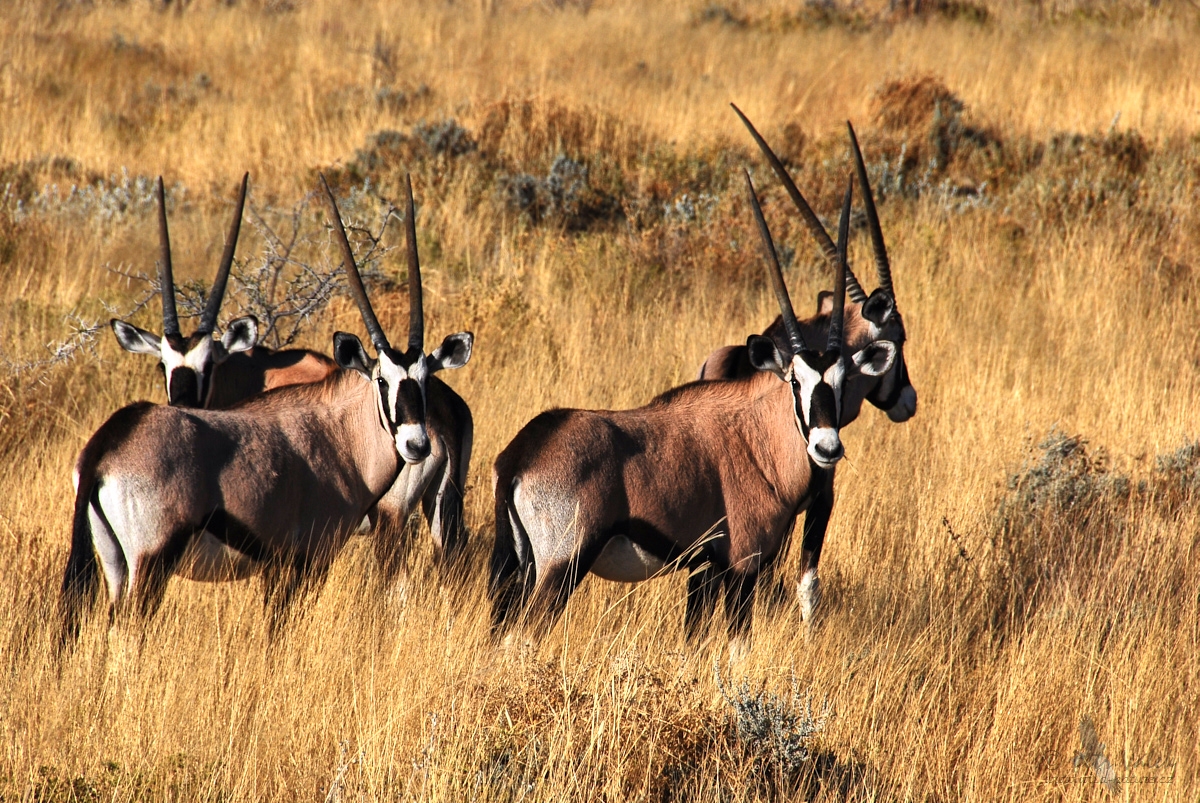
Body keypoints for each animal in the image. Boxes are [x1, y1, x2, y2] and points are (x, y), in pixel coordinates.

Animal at [62, 176, 472, 643]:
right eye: (382, 380)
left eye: (423, 380)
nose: (415, 444)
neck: (339, 435)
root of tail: (107, 446)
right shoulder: (301, 562)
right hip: (150, 565)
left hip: (118, 565)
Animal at [487, 170, 892, 652]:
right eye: (795, 381)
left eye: (844, 381)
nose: (827, 448)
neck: (758, 438)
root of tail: (522, 454)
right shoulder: (742, 566)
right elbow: (737, 648)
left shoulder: (706, 568)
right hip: (561, 567)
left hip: (520, 567)